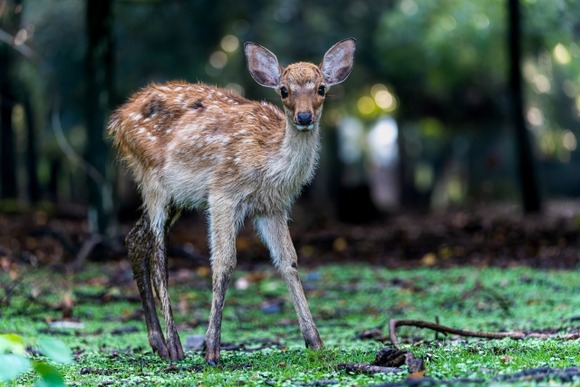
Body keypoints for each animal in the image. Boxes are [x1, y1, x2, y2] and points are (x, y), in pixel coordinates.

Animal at [107, 38, 356, 366]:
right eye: (284, 90)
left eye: (321, 88)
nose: (304, 117)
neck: (268, 163)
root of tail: (118, 119)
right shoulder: (223, 193)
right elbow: (224, 263)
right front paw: (212, 349)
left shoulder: (272, 207)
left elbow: (288, 261)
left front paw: (315, 342)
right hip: (152, 179)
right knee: (158, 255)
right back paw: (175, 346)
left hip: (176, 196)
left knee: (136, 239)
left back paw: (158, 344)